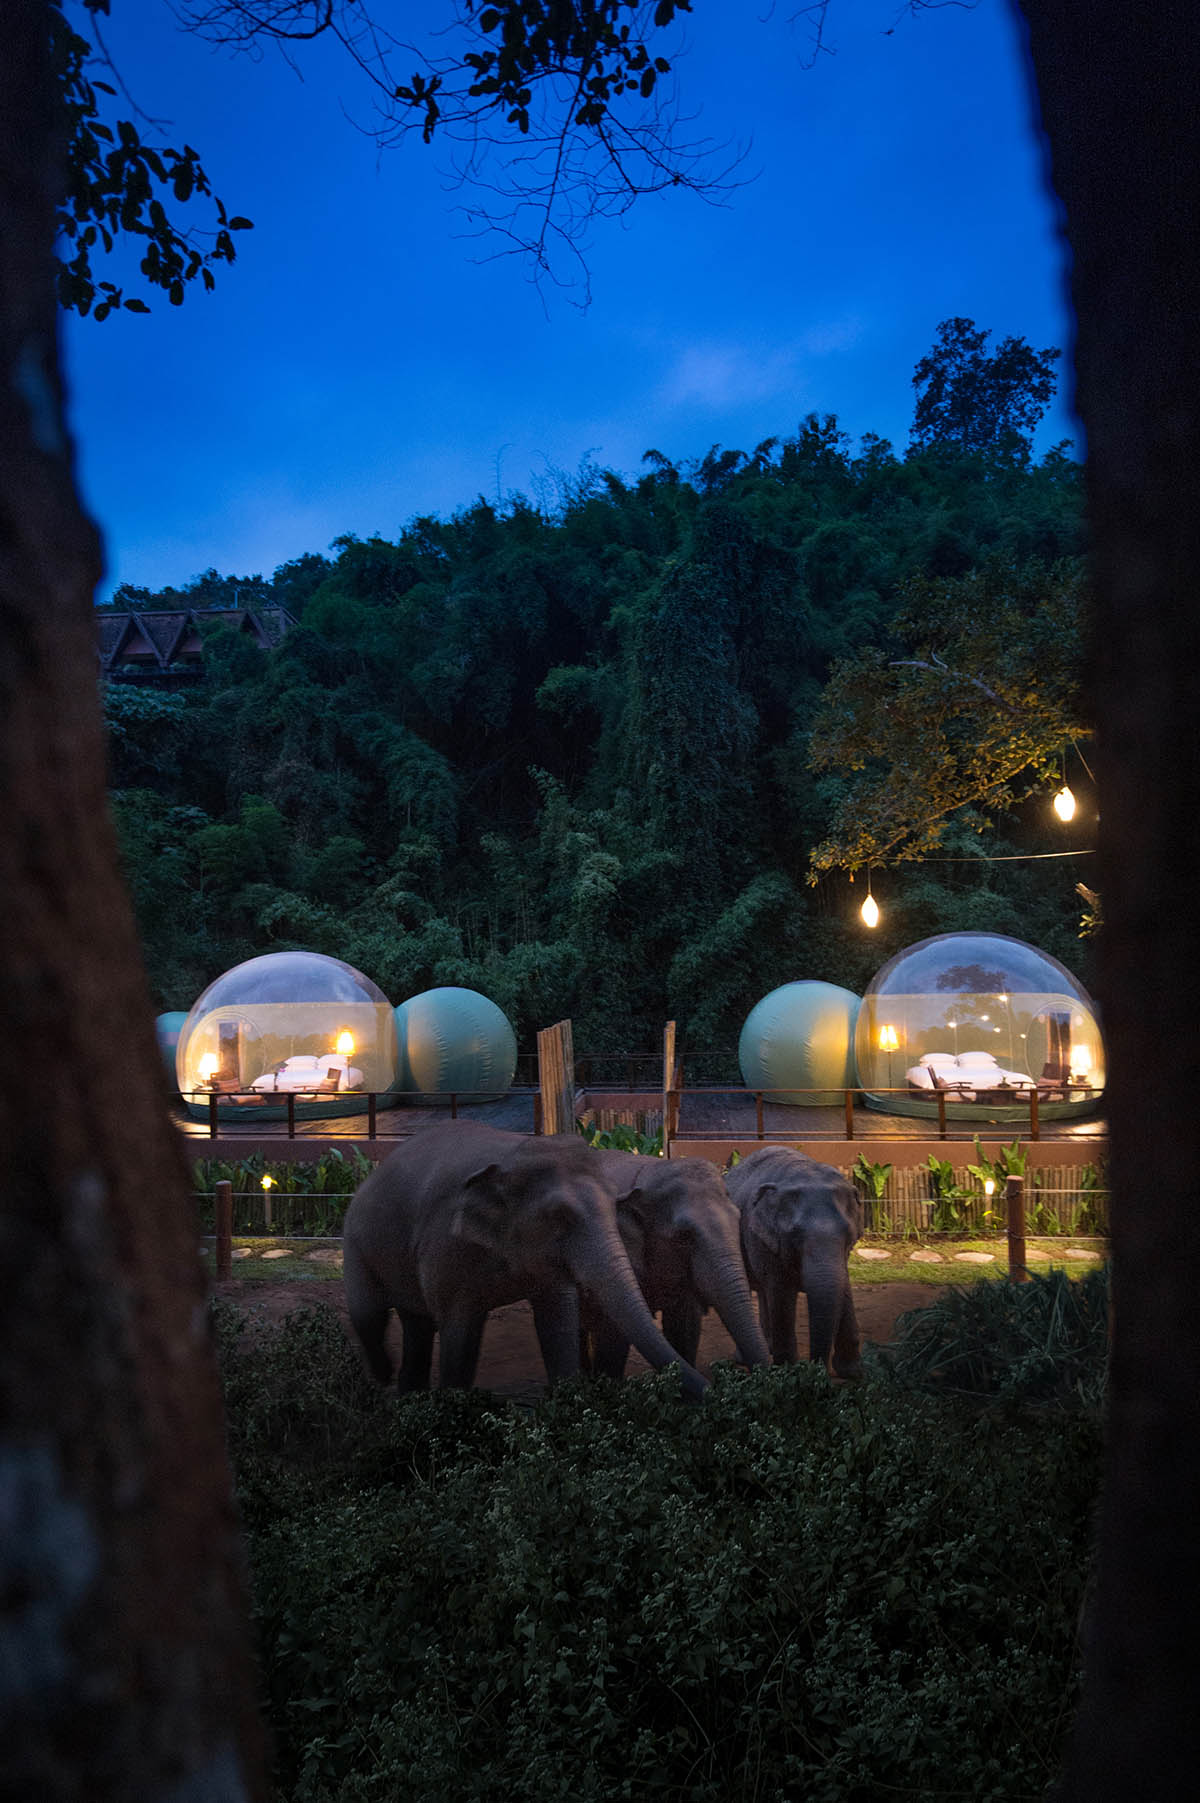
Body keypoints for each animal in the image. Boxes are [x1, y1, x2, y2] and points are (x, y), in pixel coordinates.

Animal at [342, 1120, 708, 1401]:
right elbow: (460, 1330)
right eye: (560, 1217)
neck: (513, 1155)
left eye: (613, 1204)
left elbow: (557, 1321)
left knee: (416, 1323)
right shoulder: (445, 1243)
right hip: (356, 1240)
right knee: (369, 1313)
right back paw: (383, 1374)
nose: (711, 1390)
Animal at [724, 1145, 864, 1376]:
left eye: (848, 1235)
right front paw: (789, 1372)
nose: (818, 1369)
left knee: (762, 1291)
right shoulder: (759, 1235)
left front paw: (852, 1373)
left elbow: (843, 1284)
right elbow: (781, 1292)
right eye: (795, 1234)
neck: (804, 1170)